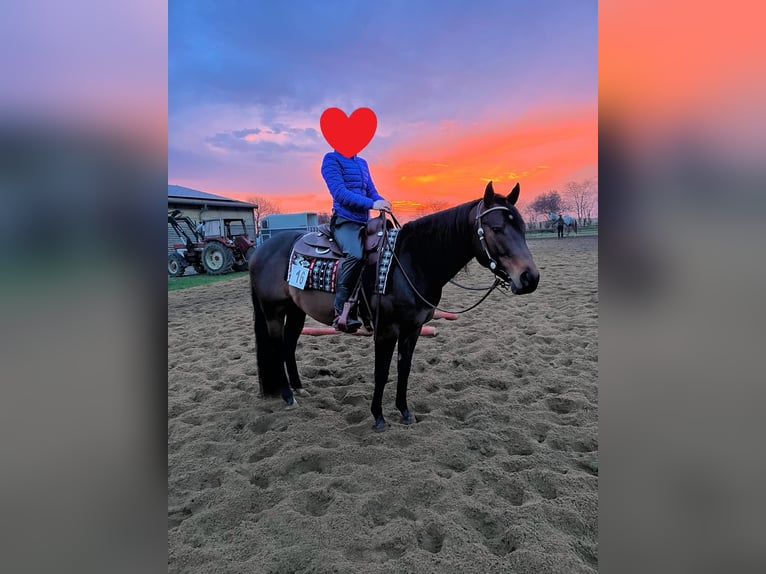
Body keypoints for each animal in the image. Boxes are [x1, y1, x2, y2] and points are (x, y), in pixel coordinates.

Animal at [249, 181, 540, 432]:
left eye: (522, 227)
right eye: (497, 228)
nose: (530, 278)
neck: (412, 261)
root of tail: (261, 250)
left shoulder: (412, 329)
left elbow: (404, 368)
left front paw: (404, 411)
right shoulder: (386, 330)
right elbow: (381, 372)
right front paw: (378, 416)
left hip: (295, 310)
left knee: (288, 346)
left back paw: (298, 388)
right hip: (273, 312)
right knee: (277, 347)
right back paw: (288, 396)